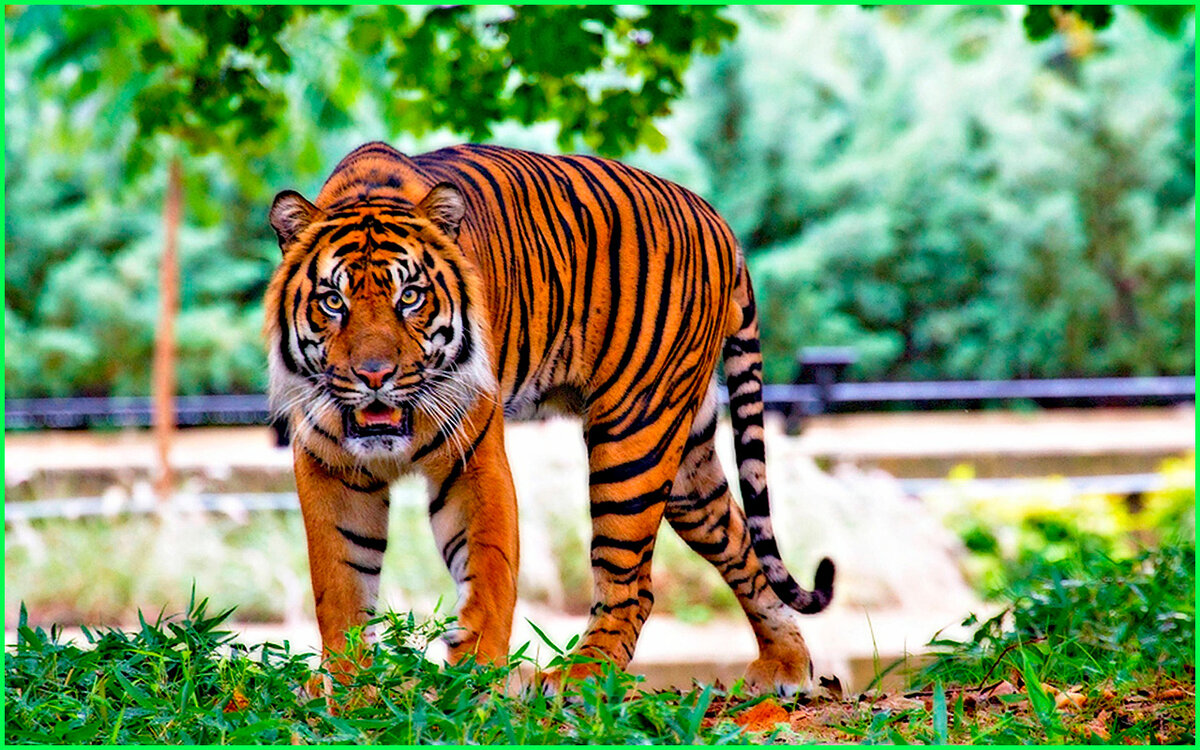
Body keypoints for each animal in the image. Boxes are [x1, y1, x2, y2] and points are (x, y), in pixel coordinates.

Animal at [264, 141, 835, 696]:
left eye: (410, 297)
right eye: (332, 301)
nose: (374, 375)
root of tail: (715, 217)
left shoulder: (473, 459)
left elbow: (488, 570)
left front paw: (473, 679)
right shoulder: (328, 466)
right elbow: (340, 584)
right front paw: (350, 685)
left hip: (634, 436)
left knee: (633, 583)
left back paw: (578, 679)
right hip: (687, 462)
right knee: (739, 542)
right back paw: (786, 664)